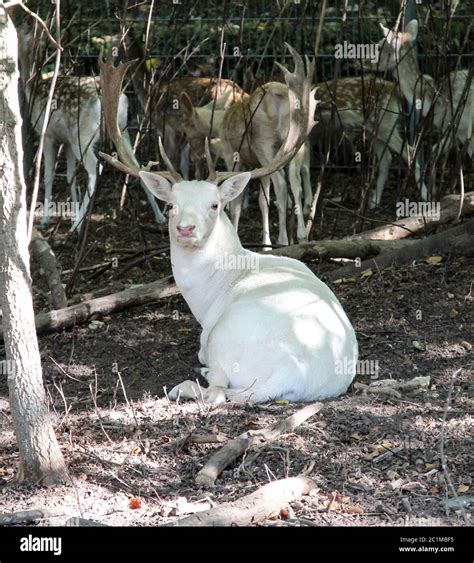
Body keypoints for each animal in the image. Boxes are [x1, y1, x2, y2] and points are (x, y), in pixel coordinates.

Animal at [17, 19, 165, 231]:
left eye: (19, 30)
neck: (33, 90)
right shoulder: (66, 141)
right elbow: (69, 175)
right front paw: (70, 214)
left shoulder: (47, 134)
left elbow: (48, 175)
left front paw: (47, 220)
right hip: (122, 130)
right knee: (137, 165)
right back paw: (160, 216)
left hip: (83, 134)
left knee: (95, 168)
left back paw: (77, 225)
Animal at [100, 45, 360, 406]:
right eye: (171, 205)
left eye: (214, 204)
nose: (185, 228)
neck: (207, 295)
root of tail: (288, 375)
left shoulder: (208, 334)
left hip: (224, 336)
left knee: (217, 390)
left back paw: (191, 381)